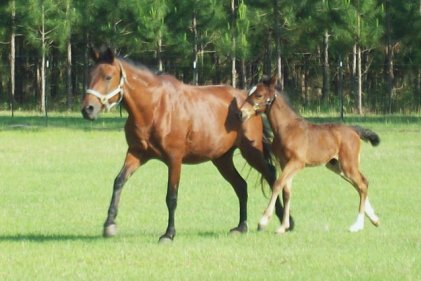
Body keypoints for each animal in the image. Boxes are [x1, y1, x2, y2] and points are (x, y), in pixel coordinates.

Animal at [80, 47, 286, 242]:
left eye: (108, 77)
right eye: (89, 75)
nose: (87, 109)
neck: (154, 108)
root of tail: (248, 103)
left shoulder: (174, 159)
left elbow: (171, 197)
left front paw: (168, 234)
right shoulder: (136, 153)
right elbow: (118, 182)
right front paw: (109, 225)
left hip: (250, 152)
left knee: (270, 174)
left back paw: (282, 219)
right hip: (222, 159)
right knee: (241, 186)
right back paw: (241, 226)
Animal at [240, 75, 380, 233]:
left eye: (258, 95)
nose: (242, 112)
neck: (287, 128)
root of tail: (354, 130)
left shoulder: (297, 163)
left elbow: (277, 184)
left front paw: (263, 222)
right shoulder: (284, 163)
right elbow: (287, 192)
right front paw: (283, 226)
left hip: (347, 165)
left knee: (362, 183)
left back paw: (358, 225)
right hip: (336, 166)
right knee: (360, 184)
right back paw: (374, 219)